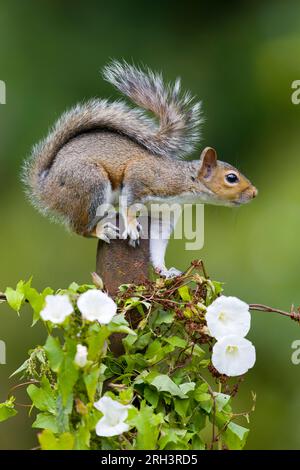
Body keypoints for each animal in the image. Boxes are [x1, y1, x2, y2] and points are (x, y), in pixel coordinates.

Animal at [23, 60, 258, 278]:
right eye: (231, 178)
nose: (255, 193)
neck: (185, 183)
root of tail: (45, 186)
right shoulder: (142, 177)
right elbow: (129, 202)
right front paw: (132, 225)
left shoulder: (165, 215)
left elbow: (158, 245)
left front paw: (164, 270)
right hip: (89, 184)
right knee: (79, 229)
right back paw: (100, 229)